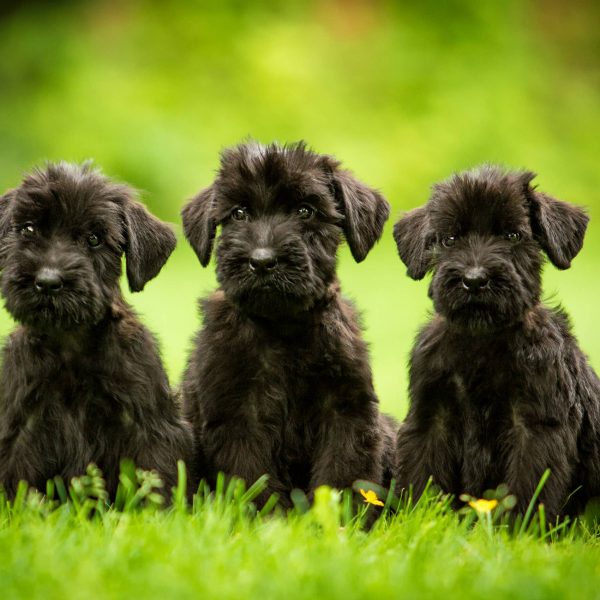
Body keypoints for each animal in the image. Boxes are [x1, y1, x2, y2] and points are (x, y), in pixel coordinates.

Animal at [0, 163, 192, 496]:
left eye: (94, 239)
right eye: (28, 229)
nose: (47, 282)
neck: (70, 342)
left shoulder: (148, 423)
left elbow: (156, 474)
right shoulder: (20, 424)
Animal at [182, 141, 398, 506]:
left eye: (305, 211)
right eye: (238, 213)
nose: (262, 261)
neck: (283, 329)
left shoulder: (346, 410)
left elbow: (342, 473)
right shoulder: (239, 415)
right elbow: (253, 478)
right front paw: (268, 518)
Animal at [394, 165, 600, 516]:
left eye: (512, 236)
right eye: (450, 239)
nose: (475, 280)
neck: (481, 341)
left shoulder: (534, 426)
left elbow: (527, 490)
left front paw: (519, 527)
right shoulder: (430, 418)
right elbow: (422, 478)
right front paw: (416, 519)